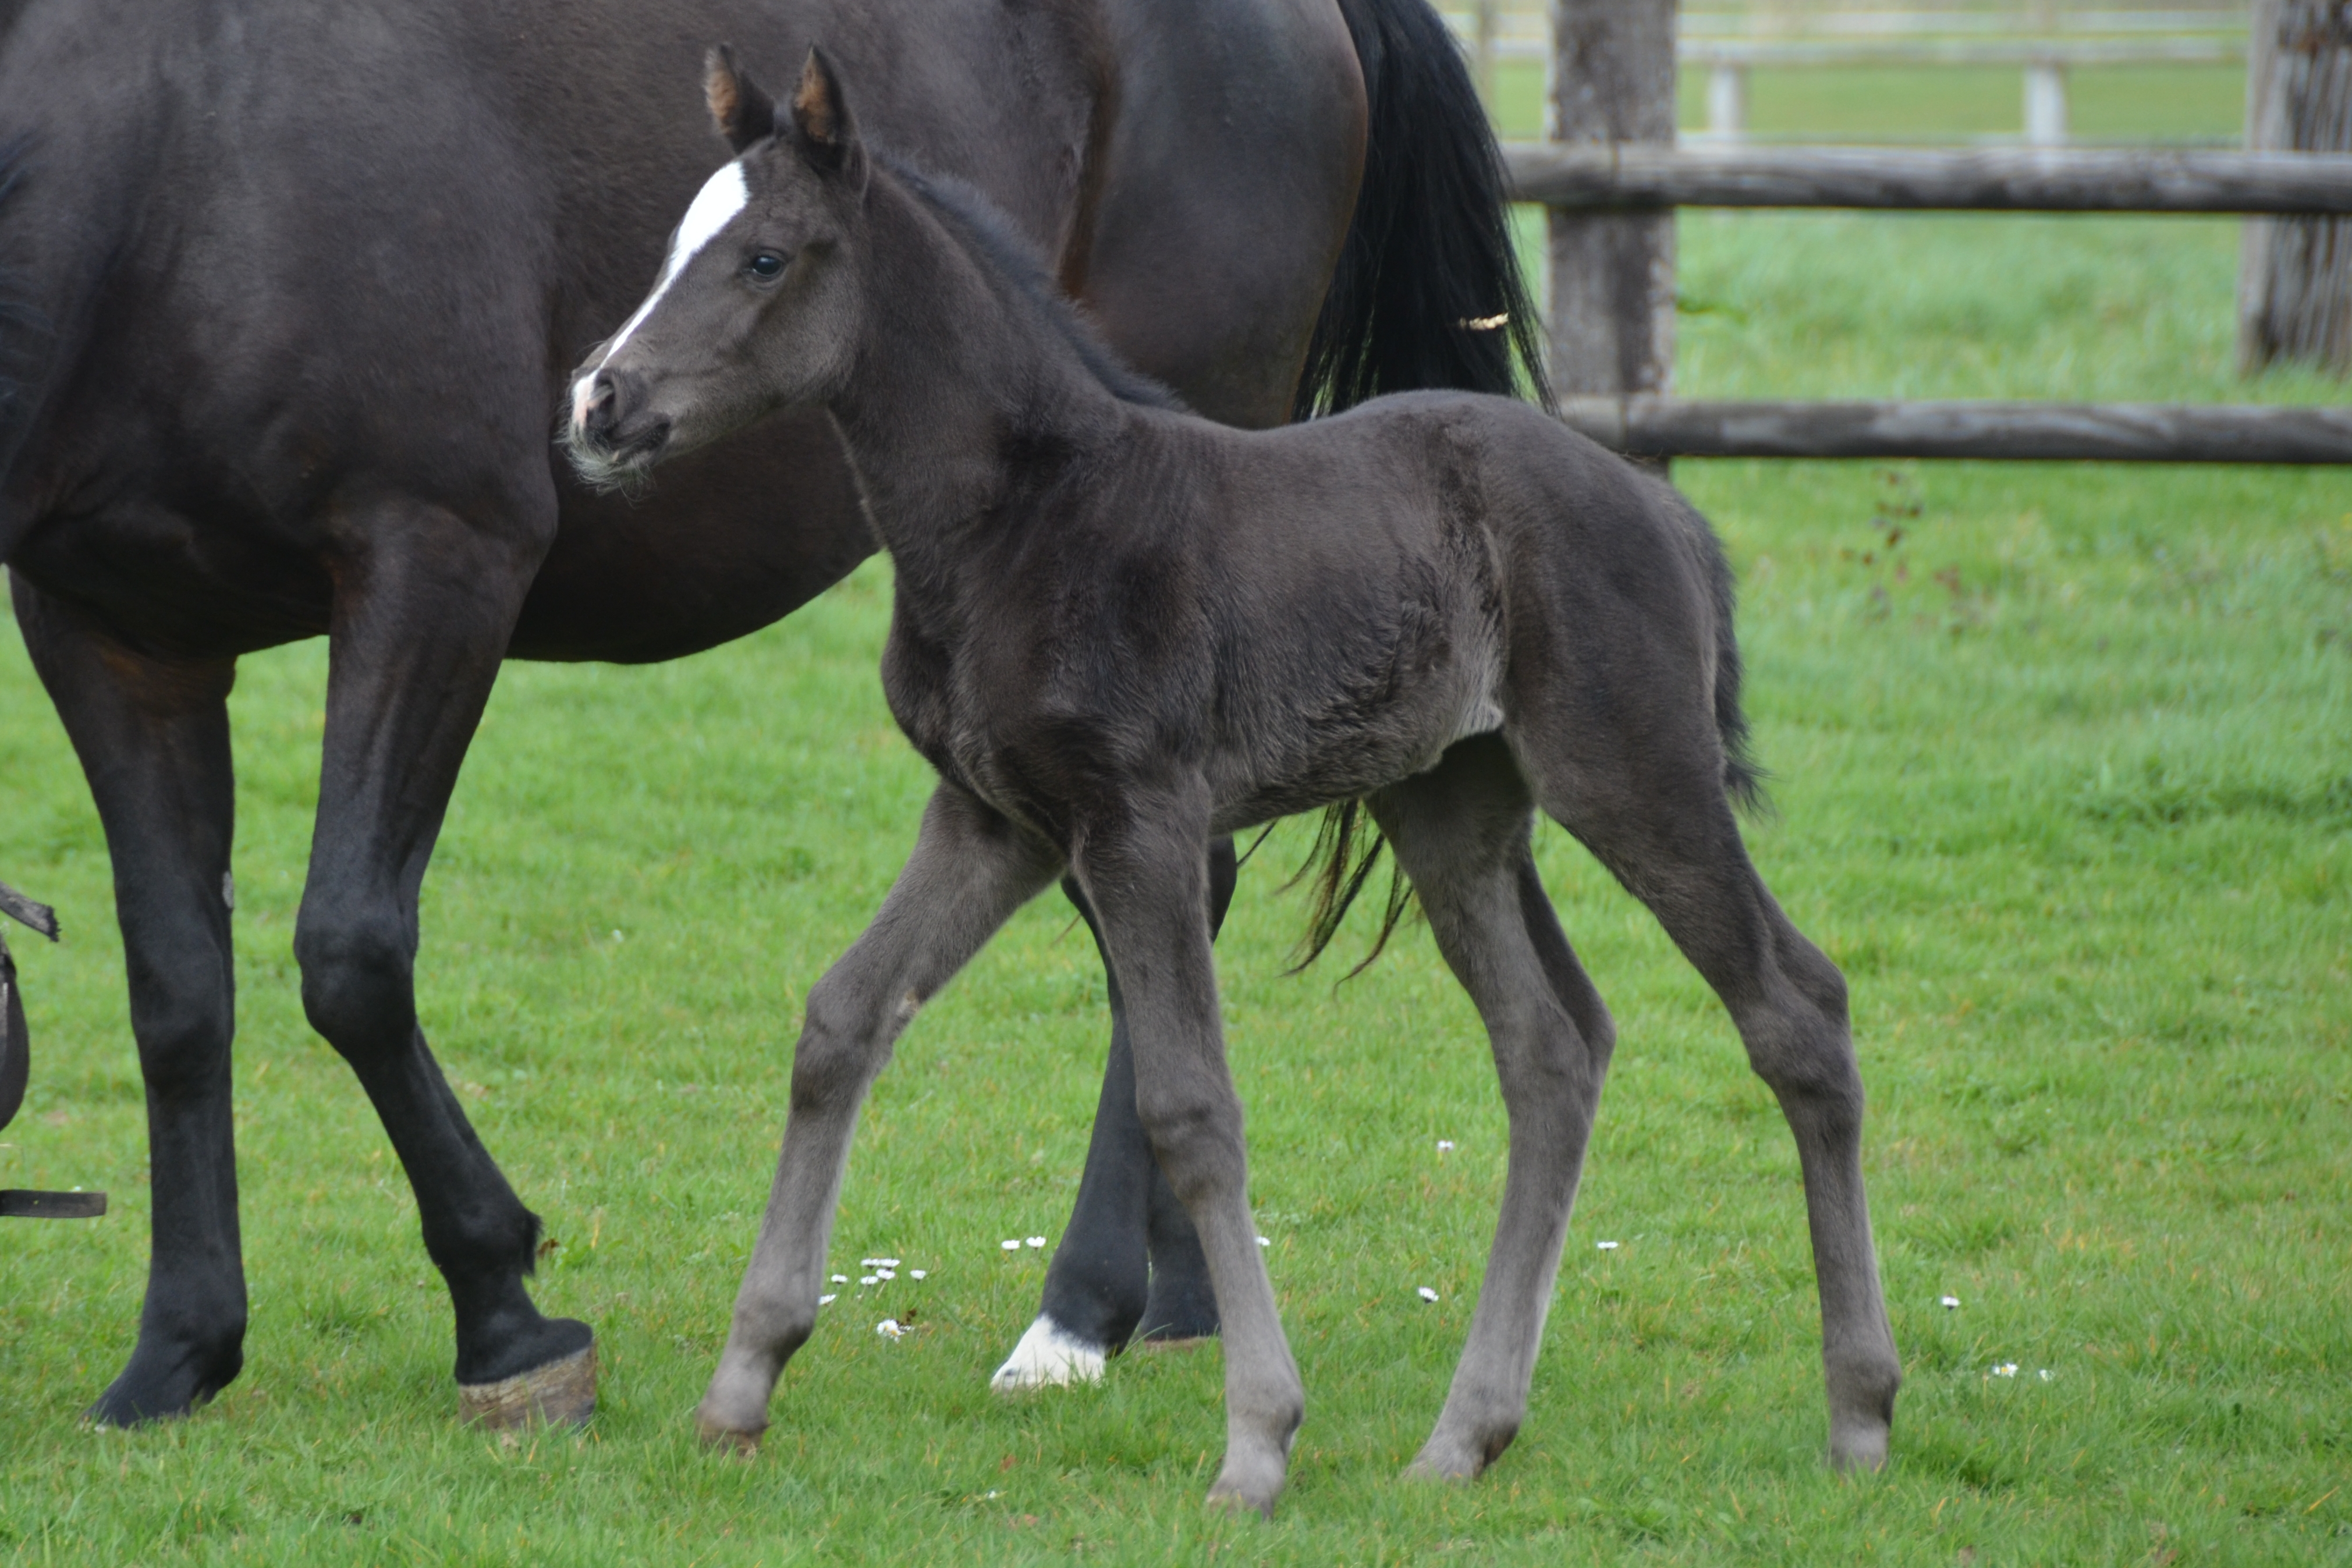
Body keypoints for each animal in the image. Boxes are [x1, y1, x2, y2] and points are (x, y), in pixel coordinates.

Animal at [0, 0, 1542, 1420]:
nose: (600, 401)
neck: (176, 151)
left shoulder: (436, 563)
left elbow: (351, 956)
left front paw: (506, 1312)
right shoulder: (109, 633)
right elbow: (176, 990)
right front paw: (179, 1346)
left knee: (1164, 902)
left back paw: (1084, 1306)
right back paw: (1176, 1296)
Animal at [569, 55, 1910, 1514]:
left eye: (764, 256)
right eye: (673, 244)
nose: (597, 404)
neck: (1019, 525)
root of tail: (1659, 506)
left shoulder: (1137, 824)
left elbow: (1191, 1107)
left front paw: (1259, 1442)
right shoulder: (991, 819)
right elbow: (841, 1022)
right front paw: (740, 1385)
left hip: (1631, 772)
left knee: (1795, 1010)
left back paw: (1858, 1417)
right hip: (1451, 810)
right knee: (1552, 1051)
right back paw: (1463, 1436)